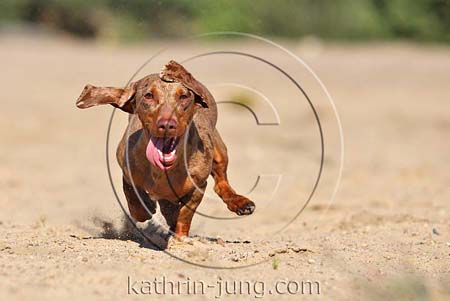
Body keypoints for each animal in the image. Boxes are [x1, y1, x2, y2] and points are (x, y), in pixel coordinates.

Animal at [76, 61, 255, 238]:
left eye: (184, 96)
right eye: (148, 95)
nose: (168, 124)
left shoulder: (198, 187)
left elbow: (184, 215)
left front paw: (179, 237)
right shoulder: (127, 173)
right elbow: (135, 201)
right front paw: (147, 206)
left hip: (219, 152)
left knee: (221, 182)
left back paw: (240, 202)